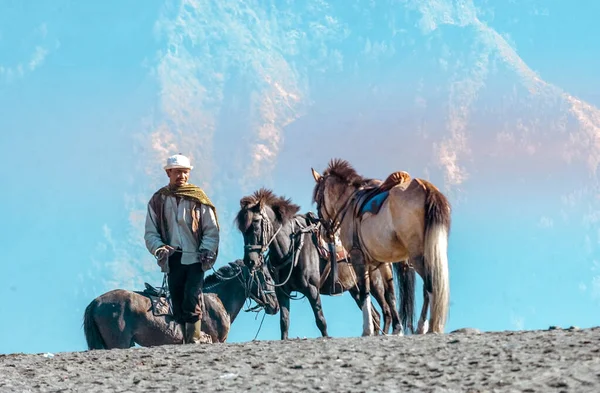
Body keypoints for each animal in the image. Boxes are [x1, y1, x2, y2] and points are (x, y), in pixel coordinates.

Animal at [314, 158, 450, 334]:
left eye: (317, 199)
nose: (325, 233)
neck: (348, 203)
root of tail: (426, 187)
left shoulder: (358, 257)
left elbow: (364, 293)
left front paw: (367, 330)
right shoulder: (383, 263)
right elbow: (391, 296)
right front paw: (397, 330)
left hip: (418, 255)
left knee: (431, 284)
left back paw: (431, 326)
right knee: (428, 289)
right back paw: (422, 326)